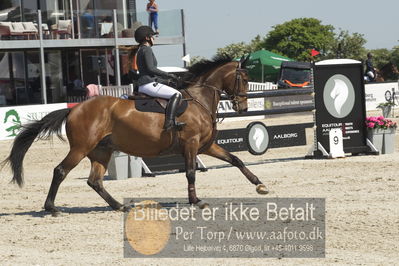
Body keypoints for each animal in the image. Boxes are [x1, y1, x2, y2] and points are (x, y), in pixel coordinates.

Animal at [1, 55, 268, 214]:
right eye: (244, 78)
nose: (243, 108)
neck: (198, 100)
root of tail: (74, 109)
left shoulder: (205, 146)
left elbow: (236, 159)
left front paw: (260, 185)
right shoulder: (191, 145)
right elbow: (191, 173)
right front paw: (196, 201)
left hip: (101, 151)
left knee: (94, 181)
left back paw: (119, 206)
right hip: (81, 148)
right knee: (60, 171)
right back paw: (52, 208)